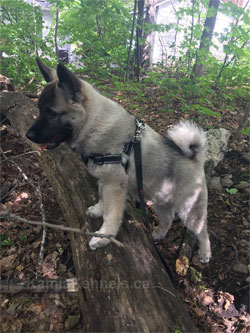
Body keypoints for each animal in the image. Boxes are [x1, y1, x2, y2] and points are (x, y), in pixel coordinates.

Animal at [26, 58, 211, 264]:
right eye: (39, 110)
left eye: (51, 113)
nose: (28, 135)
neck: (93, 123)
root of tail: (196, 160)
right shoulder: (104, 182)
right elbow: (102, 199)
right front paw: (98, 210)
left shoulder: (114, 185)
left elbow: (111, 214)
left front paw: (103, 237)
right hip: (161, 199)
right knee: (168, 218)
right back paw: (158, 234)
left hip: (190, 210)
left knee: (202, 232)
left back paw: (205, 253)